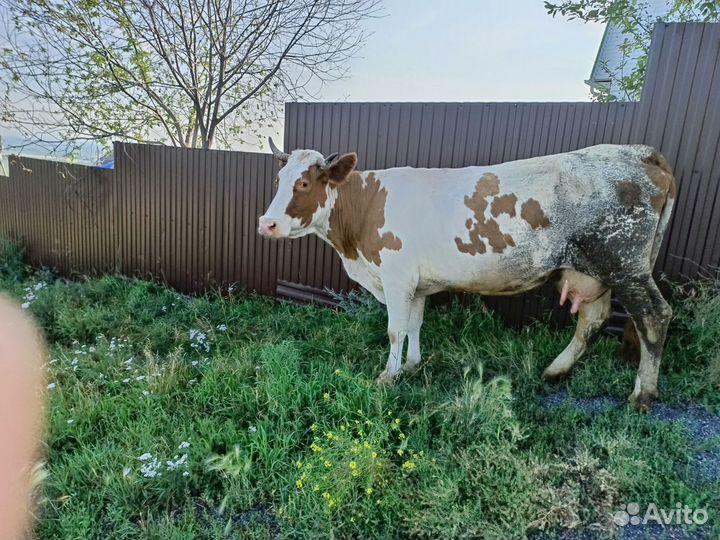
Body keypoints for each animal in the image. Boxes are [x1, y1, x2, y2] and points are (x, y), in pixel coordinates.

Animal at [258, 138, 676, 410]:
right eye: (278, 181)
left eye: (304, 183)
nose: (267, 224)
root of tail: (643, 152)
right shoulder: (417, 285)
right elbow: (415, 324)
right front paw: (412, 365)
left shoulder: (396, 277)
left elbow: (395, 329)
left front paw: (388, 376)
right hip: (592, 270)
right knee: (592, 319)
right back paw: (555, 370)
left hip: (625, 264)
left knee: (654, 315)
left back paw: (642, 394)